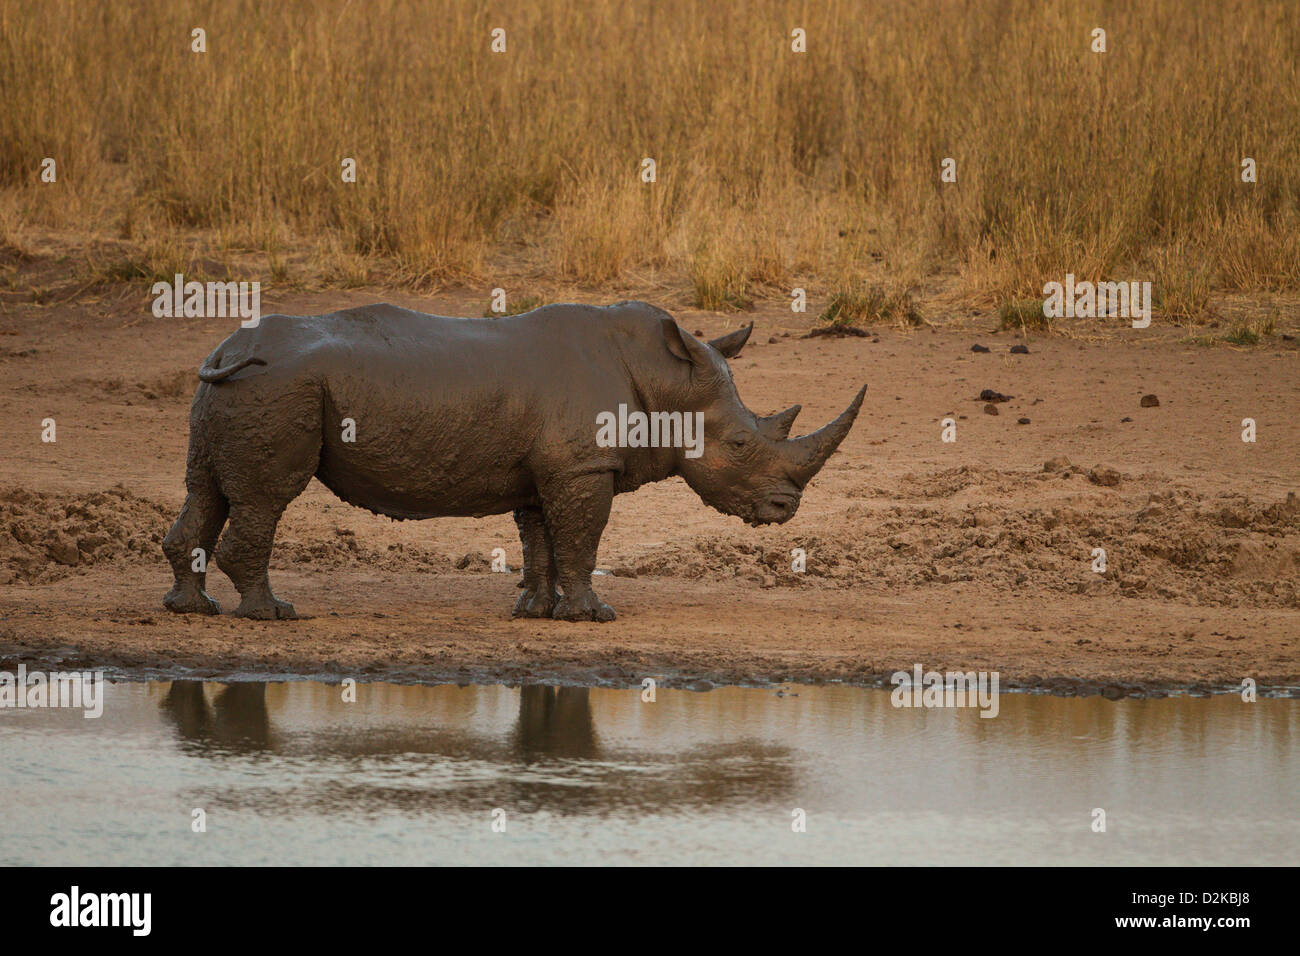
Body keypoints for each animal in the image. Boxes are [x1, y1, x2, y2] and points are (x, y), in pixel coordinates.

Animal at [162, 300, 865, 622]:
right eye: (741, 445)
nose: (786, 507)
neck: (668, 382)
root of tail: (228, 350)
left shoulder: (550, 469)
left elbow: (542, 537)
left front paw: (536, 612)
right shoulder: (583, 467)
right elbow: (580, 538)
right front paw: (592, 616)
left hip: (232, 387)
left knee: (207, 489)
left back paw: (191, 608)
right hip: (277, 387)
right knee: (264, 498)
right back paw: (271, 614)